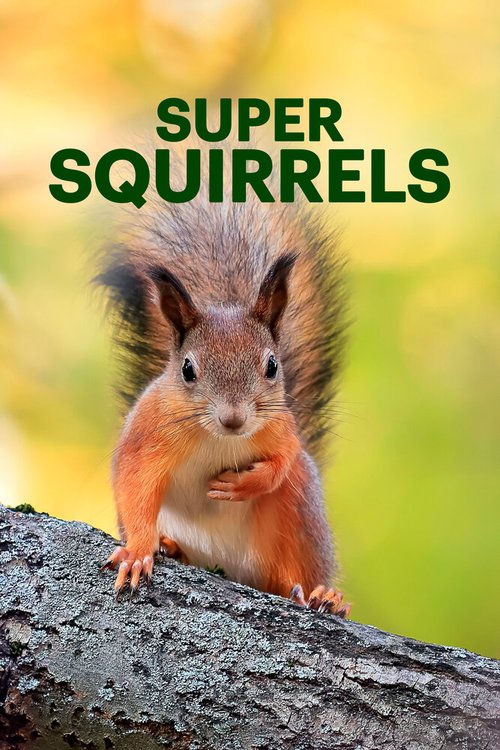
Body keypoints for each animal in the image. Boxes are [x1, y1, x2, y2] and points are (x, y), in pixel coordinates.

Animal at [98, 186, 349, 616]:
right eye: (187, 369)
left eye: (272, 365)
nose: (234, 420)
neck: (218, 438)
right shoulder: (148, 434)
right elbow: (135, 486)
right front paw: (137, 551)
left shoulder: (280, 427)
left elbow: (282, 459)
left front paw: (243, 484)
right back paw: (171, 547)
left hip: (298, 516)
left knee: (289, 571)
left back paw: (320, 596)